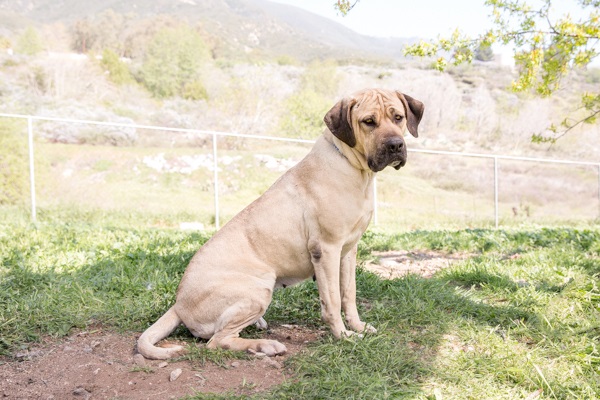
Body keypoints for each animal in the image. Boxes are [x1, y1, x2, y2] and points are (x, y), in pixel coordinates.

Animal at [138, 88, 424, 360]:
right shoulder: (326, 249)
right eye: (368, 122)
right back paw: (265, 345)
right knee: (217, 341)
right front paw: (343, 336)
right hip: (258, 288)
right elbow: (332, 301)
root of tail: (178, 304)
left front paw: (358, 326)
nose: (395, 145)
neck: (353, 167)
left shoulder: (348, 250)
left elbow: (349, 295)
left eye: (398, 117)